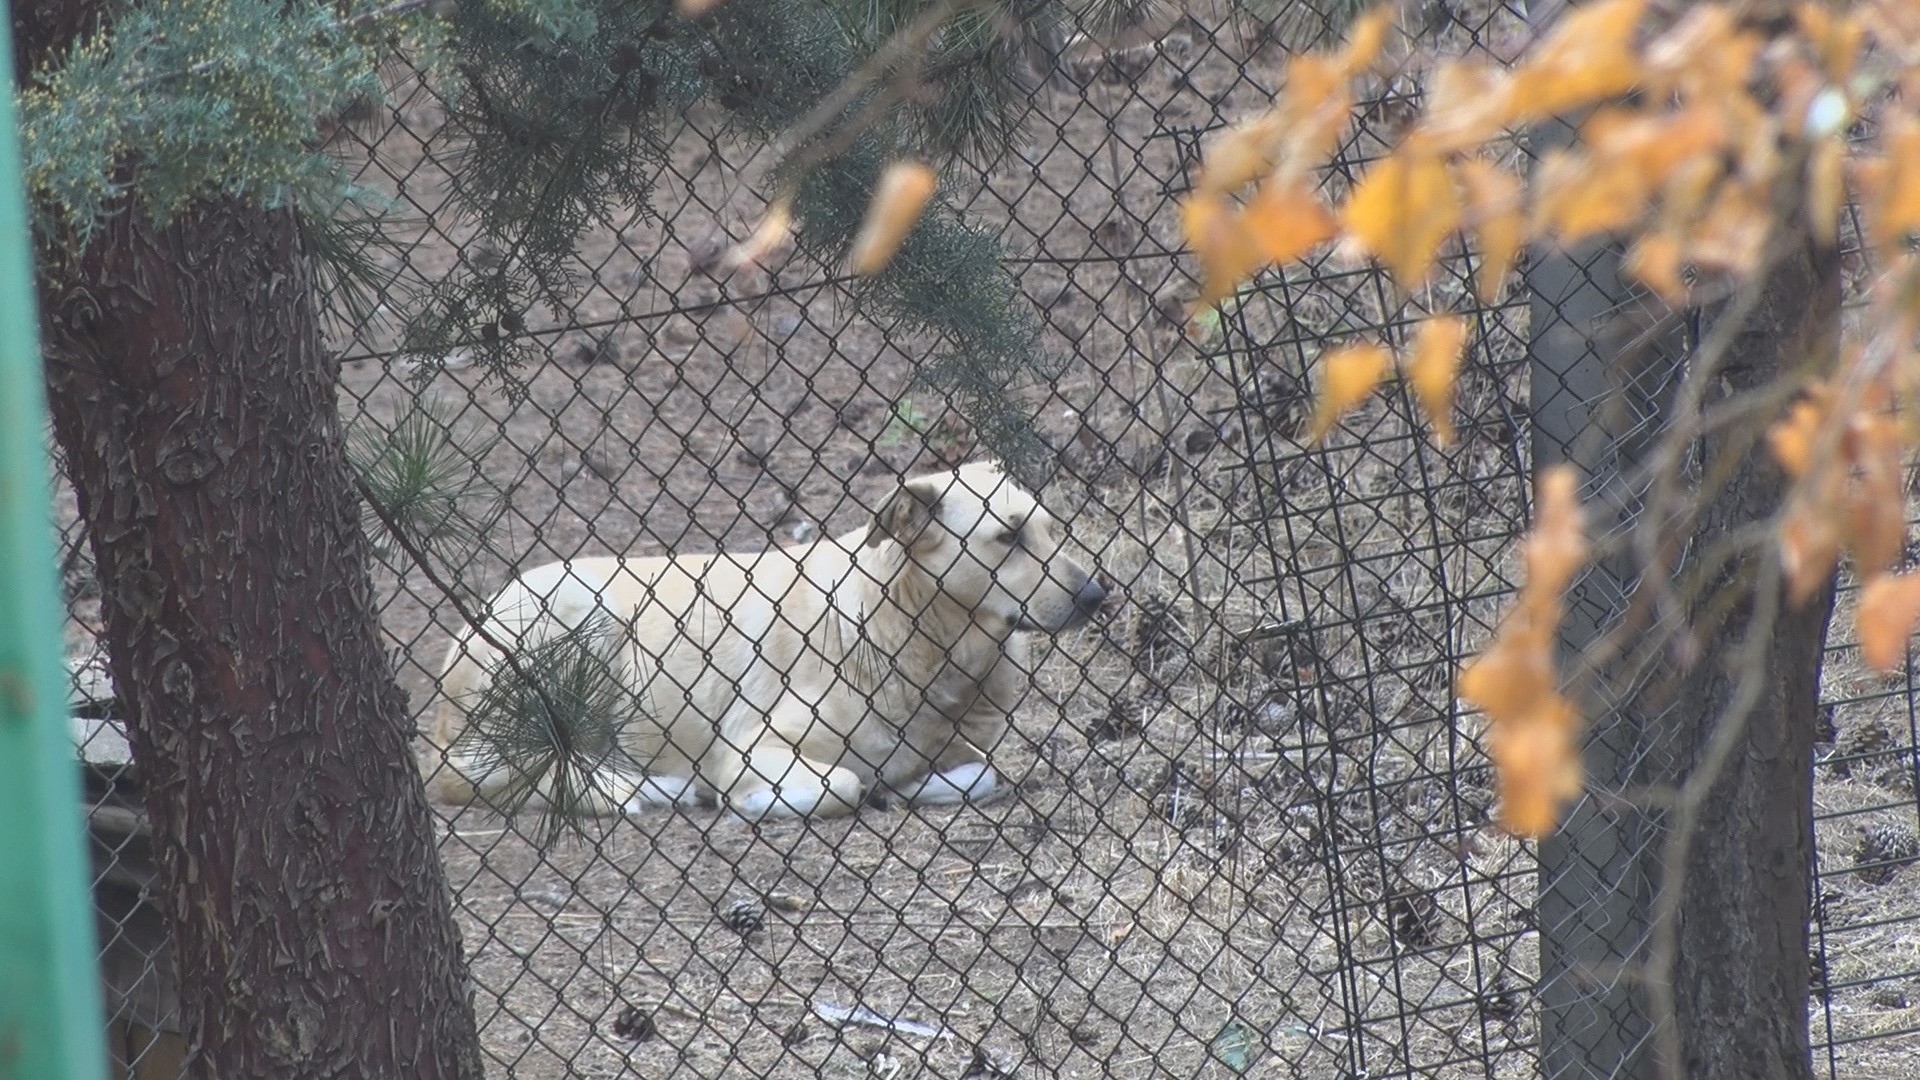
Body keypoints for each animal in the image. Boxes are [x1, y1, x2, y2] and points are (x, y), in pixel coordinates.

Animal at [426, 457, 1105, 818]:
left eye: (1050, 528)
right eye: (1007, 537)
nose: (1099, 595)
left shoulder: (965, 750)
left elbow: (977, 771)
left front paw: (912, 786)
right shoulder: (751, 747)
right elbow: (845, 783)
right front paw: (756, 802)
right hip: (582, 611)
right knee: (499, 775)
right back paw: (644, 788)